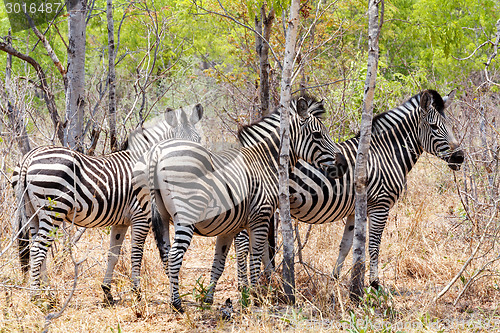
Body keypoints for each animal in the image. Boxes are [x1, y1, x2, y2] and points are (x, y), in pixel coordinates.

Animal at [10, 102, 201, 302]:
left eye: (199, 140)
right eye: (178, 148)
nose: (193, 176)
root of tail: (29, 157)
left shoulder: (121, 222)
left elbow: (113, 255)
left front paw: (107, 292)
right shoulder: (141, 216)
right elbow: (136, 254)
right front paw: (137, 292)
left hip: (32, 212)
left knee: (38, 248)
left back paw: (48, 293)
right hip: (52, 209)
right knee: (38, 249)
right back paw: (36, 296)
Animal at [133, 95, 350, 312]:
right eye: (317, 135)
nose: (343, 165)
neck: (265, 162)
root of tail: (157, 151)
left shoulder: (230, 227)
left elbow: (219, 263)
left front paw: (211, 299)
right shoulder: (260, 217)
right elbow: (255, 257)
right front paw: (255, 296)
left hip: (160, 215)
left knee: (166, 253)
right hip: (186, 213)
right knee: (174, 256)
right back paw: (177, 304)